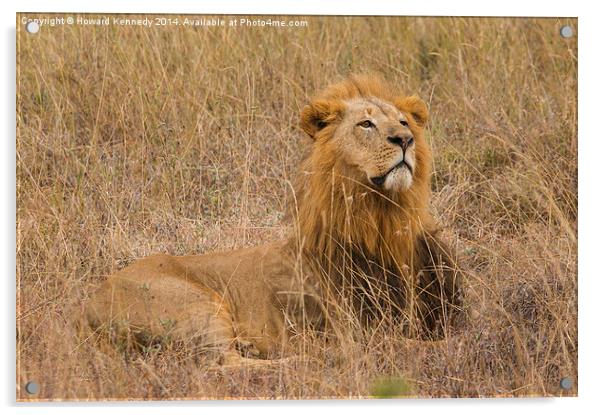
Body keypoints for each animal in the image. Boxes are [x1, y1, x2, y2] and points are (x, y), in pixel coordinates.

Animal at [84, 74, 462, 364]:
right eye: (365, 124)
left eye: (404, 122)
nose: (405, 140)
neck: (382, 218)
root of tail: (87, 305)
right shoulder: (355, 330)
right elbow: (412, 346)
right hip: (196, 305)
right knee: (223, 364)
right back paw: (303, 360)